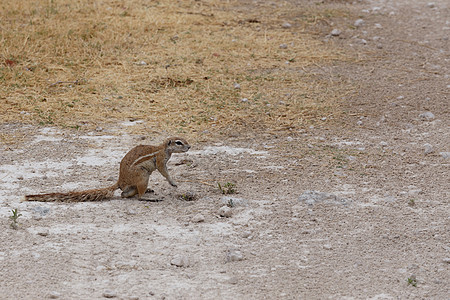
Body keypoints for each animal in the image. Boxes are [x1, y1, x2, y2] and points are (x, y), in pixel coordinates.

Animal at [22, 137, 190, 203]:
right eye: (179, 142)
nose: (189, 146)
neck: (164, 149)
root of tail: (120, 181)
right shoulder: (161, 160)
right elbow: (164, 171)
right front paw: (173, 182)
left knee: (124, 194)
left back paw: (146, 191)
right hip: (142, 176)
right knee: (138, 196)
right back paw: (149, 197)